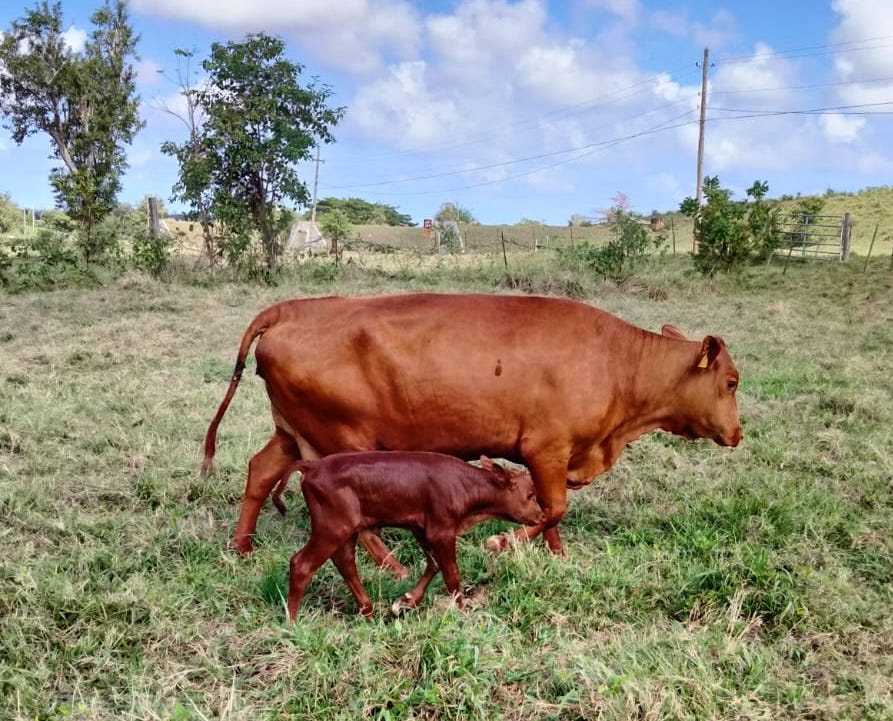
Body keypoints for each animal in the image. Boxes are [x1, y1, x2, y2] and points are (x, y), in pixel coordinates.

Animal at [202, 292, 740, 572]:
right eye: (732, 382)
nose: (738, 433)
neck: (617, 363)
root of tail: (293, 307)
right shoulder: (546, 448)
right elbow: (553, 508)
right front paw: (502, 543)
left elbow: (552, 513)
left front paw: (558, 557)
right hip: (342, 443)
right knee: (356, 519)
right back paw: (393, 567)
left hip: (291, 432)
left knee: (260, 471)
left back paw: (243, 546)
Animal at [278, 450, 544, 620]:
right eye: (530, 494)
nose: (542, 516)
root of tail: (313, 465)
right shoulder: (441, 529)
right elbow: (452, 574)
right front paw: (462, 612)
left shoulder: (421, 527)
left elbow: (434, 563)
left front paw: (406, 601)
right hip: (333, 526)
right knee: (302, 563)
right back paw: (292, 622)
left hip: (346, 529)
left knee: (345, 562)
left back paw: (367, 611)